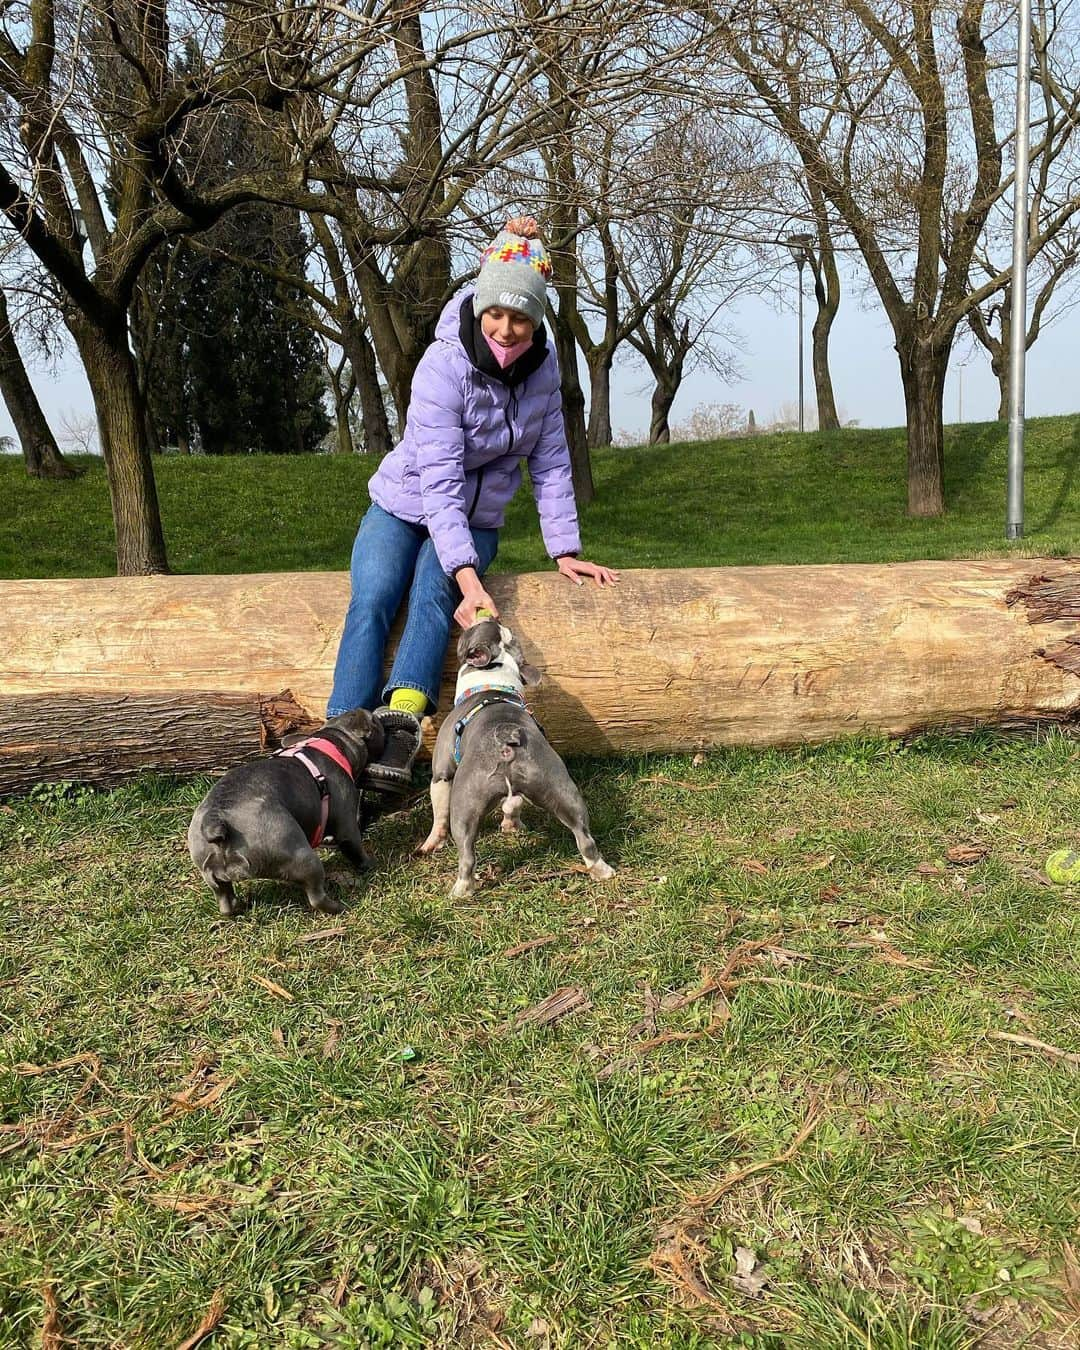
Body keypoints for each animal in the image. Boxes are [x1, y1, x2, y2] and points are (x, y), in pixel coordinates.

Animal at [186, 707, 383, 918]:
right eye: (374, 721)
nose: (376, 715)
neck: (334, 741)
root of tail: (216, 818)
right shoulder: (347, 826)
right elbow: (356, 850)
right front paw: (371, 864)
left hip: (211, 875)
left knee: (225, 901)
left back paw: (239, 907)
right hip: (303, 858)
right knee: (316, 896)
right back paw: (339, 907)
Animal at [415, 618, 612, 896]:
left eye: (474, 632)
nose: (493, 618)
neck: (495, 683)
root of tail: (506, 736)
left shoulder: (441, 774)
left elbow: (438, 814)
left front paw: (432, 842)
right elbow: (513, 804)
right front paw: (511, 825)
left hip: (464, 805)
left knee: (467, 854)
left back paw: (461, 891)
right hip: (560, 787)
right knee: (584, 837)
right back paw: (601, 870)